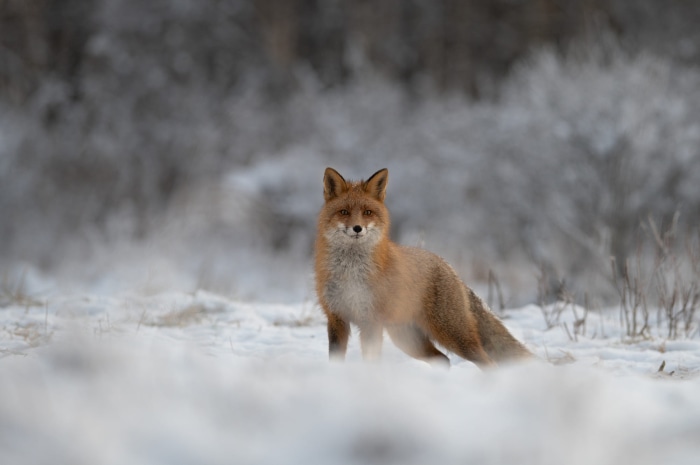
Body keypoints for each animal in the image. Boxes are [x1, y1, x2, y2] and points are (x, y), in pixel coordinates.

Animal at [314, 167, 532, 368]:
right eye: (344, 212)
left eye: (368, 212)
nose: (357, 228)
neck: (350, 273)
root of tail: (448, 266)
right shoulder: (336, 318)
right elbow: (335, 359)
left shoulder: (371, 321)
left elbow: (371, 359)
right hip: (408, 339)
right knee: (443, 360)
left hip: (452, 335)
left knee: (487, 362)